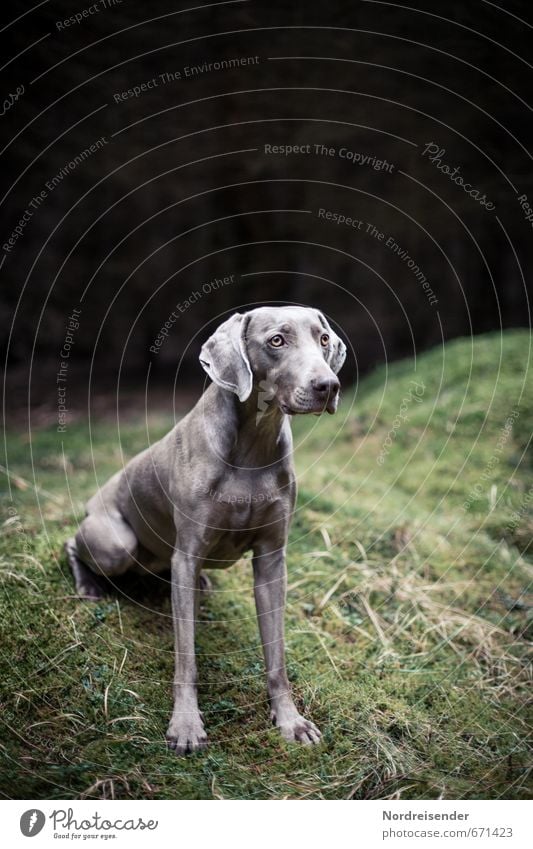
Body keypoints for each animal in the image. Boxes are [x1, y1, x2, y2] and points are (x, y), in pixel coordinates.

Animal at [64, 304, 344, 748]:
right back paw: (88, 586)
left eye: (323, 339)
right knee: (73, 544)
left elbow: (277, 656)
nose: (328, 385)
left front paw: (290, 720)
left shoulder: (272, 560)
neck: (253, 445)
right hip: (115, 542)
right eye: (276, 340)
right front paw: (185, 725)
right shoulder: (188, 552)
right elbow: (187, 658)